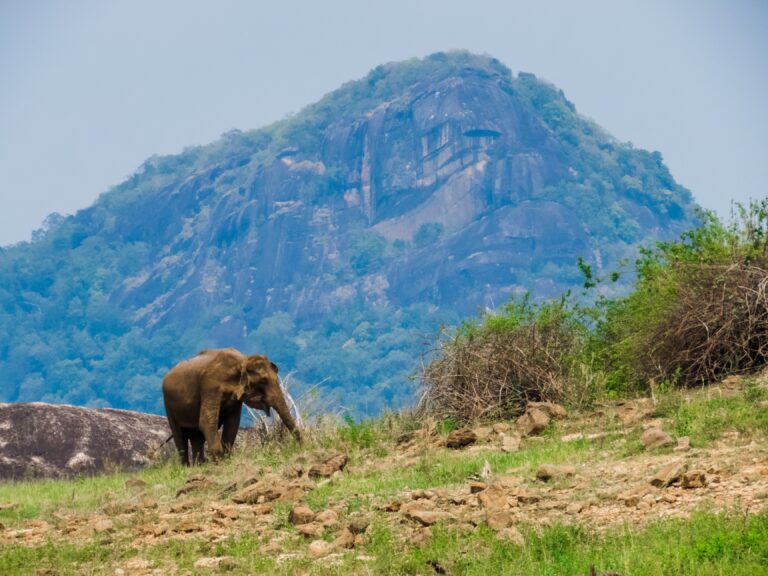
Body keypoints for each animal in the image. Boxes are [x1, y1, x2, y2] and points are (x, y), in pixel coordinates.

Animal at [162, 348, 300, 465]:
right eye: (263, 381)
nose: (301, 446)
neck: (242, 359)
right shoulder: (210, 387)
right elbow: (206, 422)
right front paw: (220, 462)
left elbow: (233, 424)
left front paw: (225, 459)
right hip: (168, 406)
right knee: (180, 437)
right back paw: (187, 466)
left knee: (197, 437)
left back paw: (200, 465)